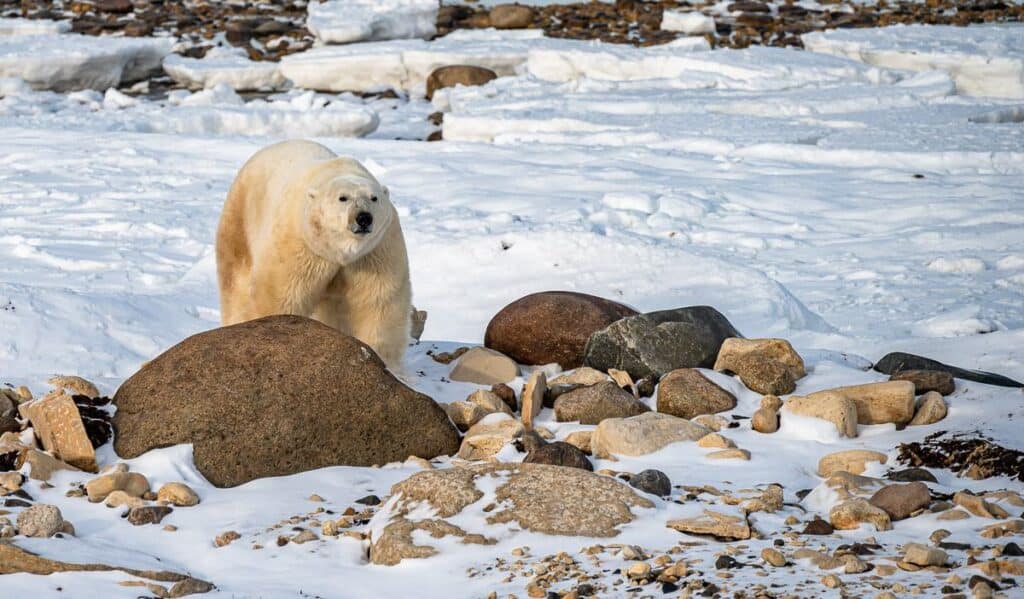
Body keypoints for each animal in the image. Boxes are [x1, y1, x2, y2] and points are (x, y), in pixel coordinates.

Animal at [216, 139, 411, 368]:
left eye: (374, 198)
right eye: (343, 198)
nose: (363, 218)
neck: (339, 252)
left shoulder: (375, 251)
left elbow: (377, 302)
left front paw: (385, 362)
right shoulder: (300, 246)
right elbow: (281, 296)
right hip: (241, 217)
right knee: (236, 280)